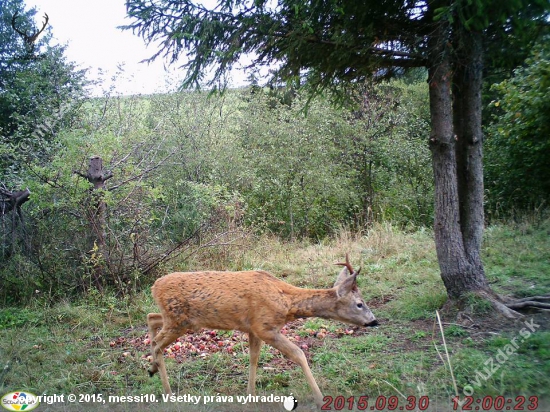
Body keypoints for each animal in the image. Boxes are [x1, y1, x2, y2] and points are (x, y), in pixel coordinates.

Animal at [147, 253, 380, 408]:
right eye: (359, 304)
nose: (374, 321)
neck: (286, 303)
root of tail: (154, 286)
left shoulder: (253, 329)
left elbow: (253, 359)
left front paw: (250, 397)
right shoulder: (265, 327)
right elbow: (299, 354)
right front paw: (320, 398)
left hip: (176, 319)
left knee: (152, 319)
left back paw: (153, 369)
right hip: (179, 321)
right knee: (157, 343)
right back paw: (166, 390)